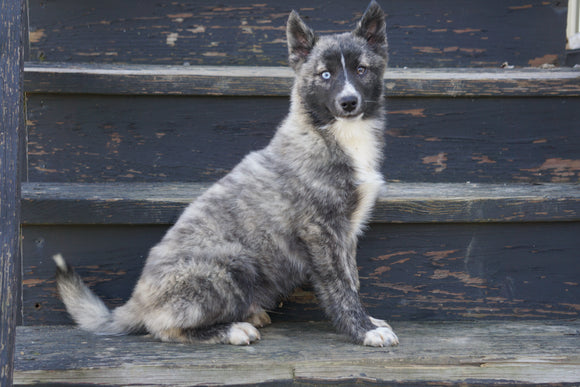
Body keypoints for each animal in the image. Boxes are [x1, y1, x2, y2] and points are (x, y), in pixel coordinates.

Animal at [54, 2, 398, 348]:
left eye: (361, 70)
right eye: (325, 74)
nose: (348, 102)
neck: (329, 134)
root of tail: (137, 302)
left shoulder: (346, 235)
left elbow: (352, 278)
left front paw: (369, 321)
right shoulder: (321, 232)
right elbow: (341, 286)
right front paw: (363, 329)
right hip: (234, 263)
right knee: (163, 327)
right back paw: (232, 329)